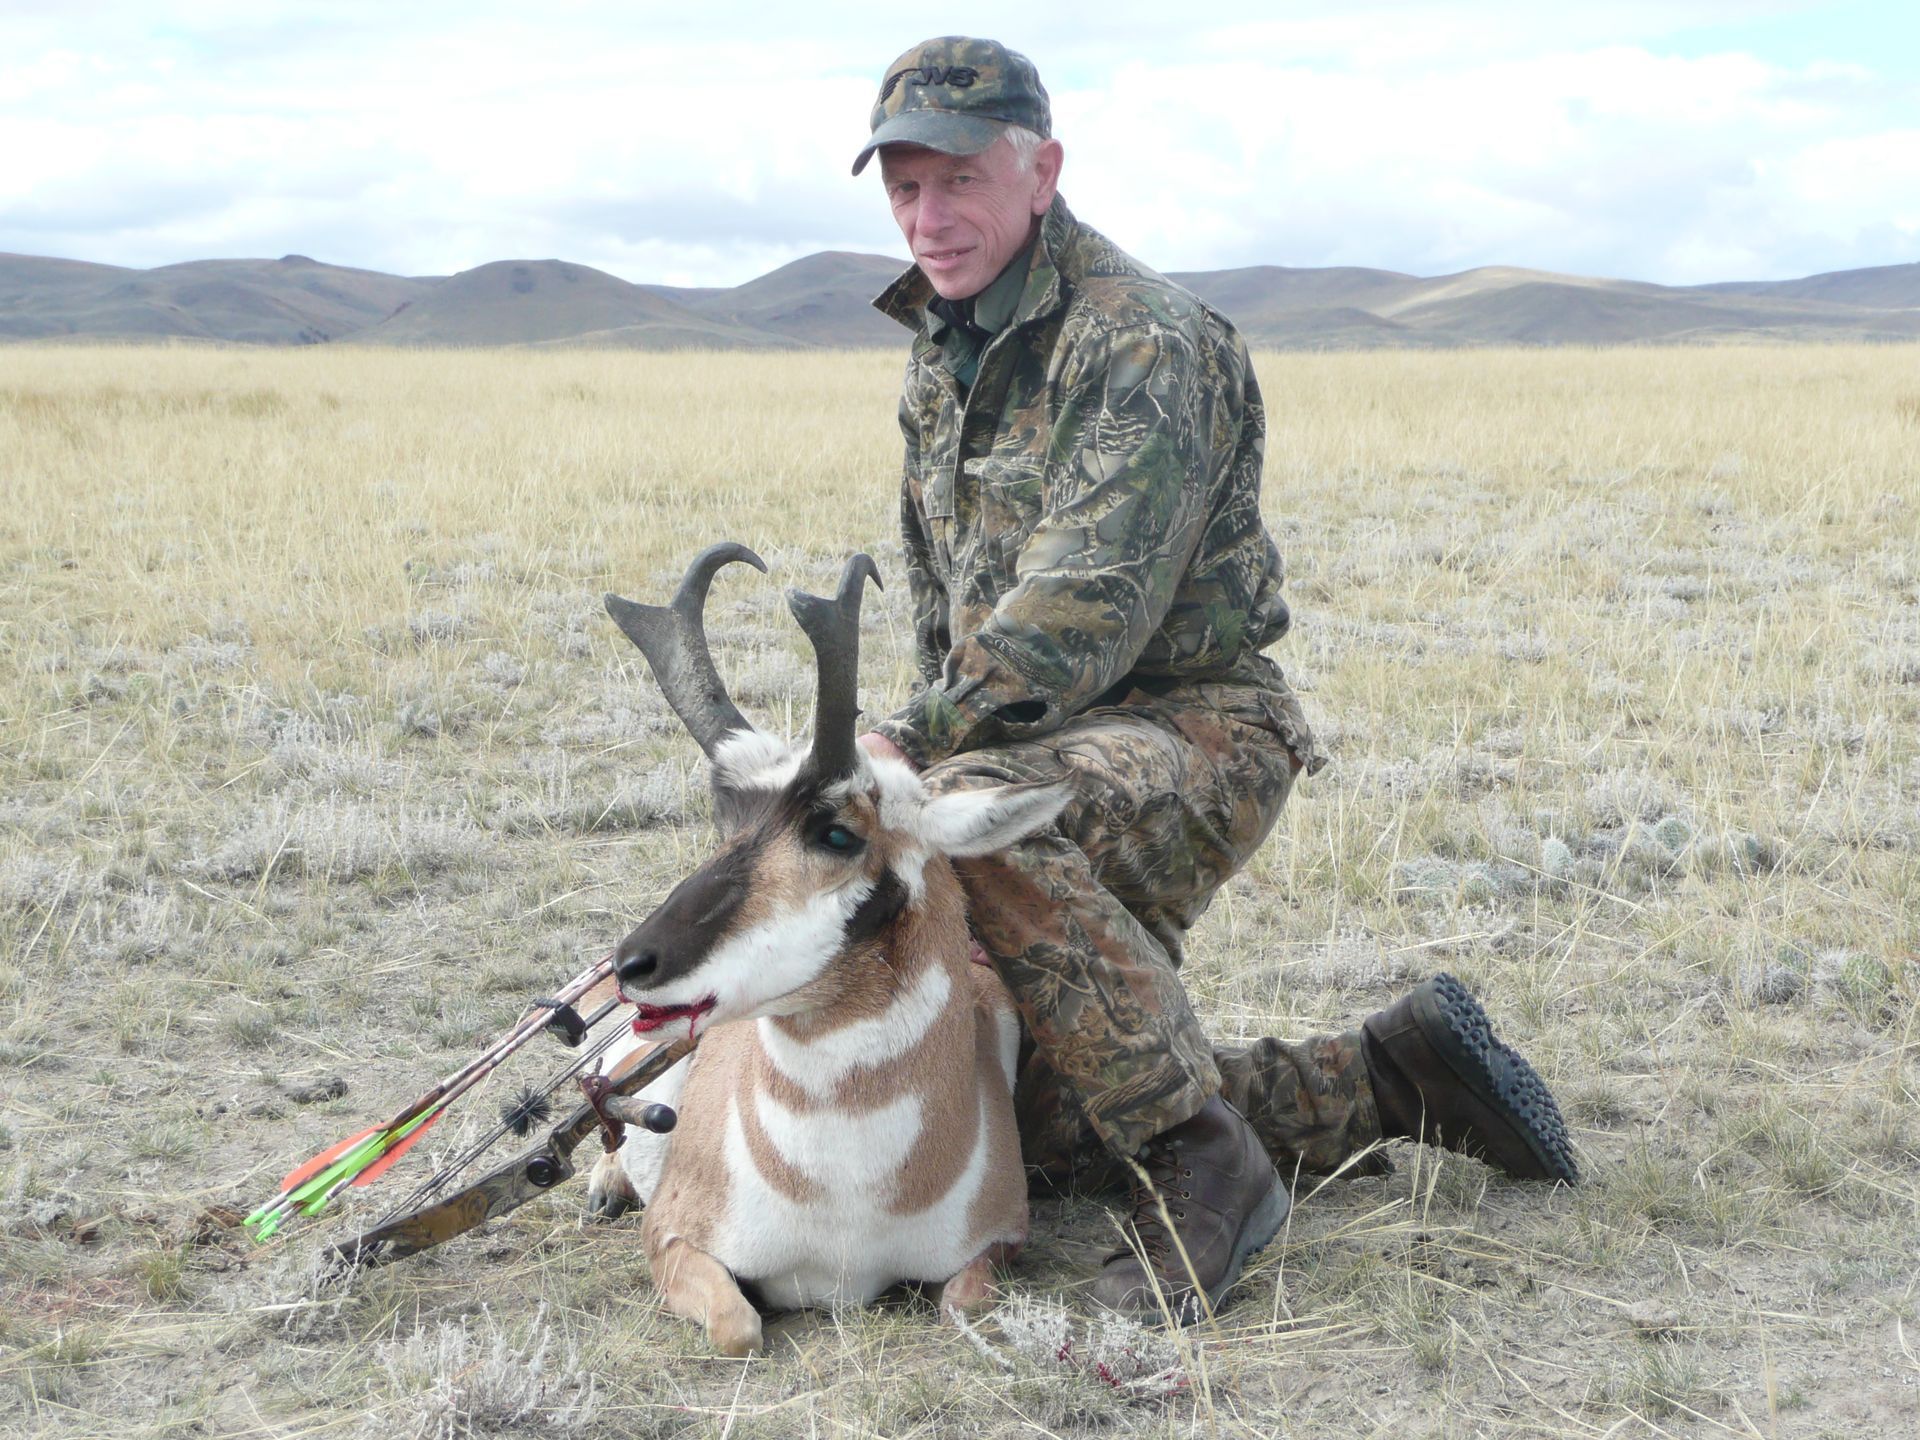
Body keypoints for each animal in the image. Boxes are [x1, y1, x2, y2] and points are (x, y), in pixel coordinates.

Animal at [583, 544, 1065, 1356]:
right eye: (727, 821)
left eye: (837, 832)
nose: (632, 967)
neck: (846, 1201)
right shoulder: (673, 1237)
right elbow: (739, 1327)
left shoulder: (1000, 1242)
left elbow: (963, 1307)